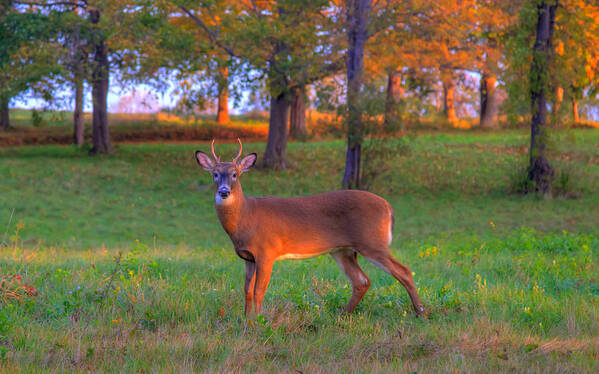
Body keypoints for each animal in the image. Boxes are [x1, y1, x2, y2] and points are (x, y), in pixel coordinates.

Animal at [193, 139, 426, 318]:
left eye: (235, 174)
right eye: (215, 174)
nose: (224, 191)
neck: (246, 216)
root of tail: (388, 207)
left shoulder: (267, 251)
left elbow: (260, 290)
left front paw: (257, 321)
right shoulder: (247, 257)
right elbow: (247, 291)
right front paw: (245, 319)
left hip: (372, 242)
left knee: (404, 271)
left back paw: (421, 313)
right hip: (342, 250)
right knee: (362, 281)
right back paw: (342, 315)